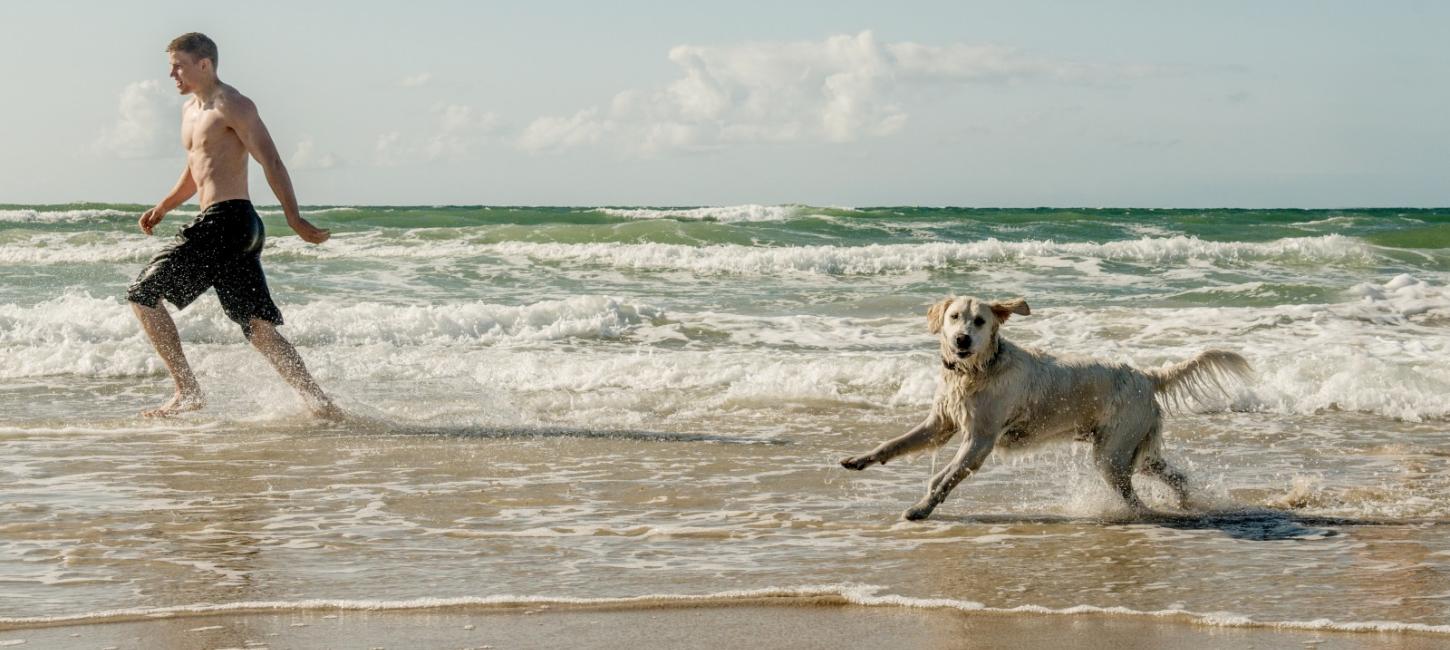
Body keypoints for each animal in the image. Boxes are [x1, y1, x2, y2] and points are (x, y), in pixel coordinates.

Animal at [846, 297, 1252, 519]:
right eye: (954, 317)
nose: (962, 340)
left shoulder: (978, 441)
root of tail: (1146, 375)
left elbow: (941, 478)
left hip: (1112, 454)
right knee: (1174, 475)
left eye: (980, 320)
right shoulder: (940, 424)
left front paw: (920, 509)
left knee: (1134, 496)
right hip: (1136, 449)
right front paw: (860, 459)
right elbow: (895, 443)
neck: (978, 370)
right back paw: (1185, 503)